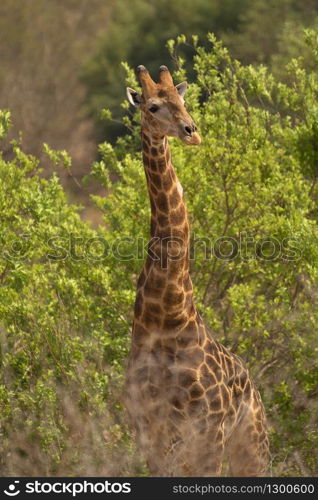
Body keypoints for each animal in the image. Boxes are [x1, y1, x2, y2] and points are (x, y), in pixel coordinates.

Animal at [124, 66, 268, 476]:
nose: (192, 131)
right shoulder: (148, 428)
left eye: (182, 100)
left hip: (251, 447)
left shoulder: (208, 430)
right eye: (153, 106)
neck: (167, 317)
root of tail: (253, 385)